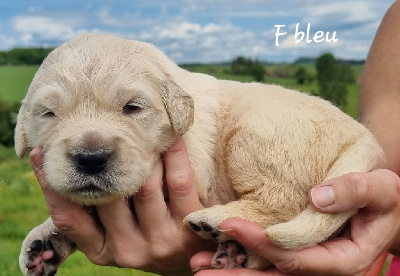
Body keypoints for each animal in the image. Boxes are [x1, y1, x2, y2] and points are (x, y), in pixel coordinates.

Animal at [15, 32, 382, 274]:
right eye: (49, 113)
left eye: (132, 107)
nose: (90, 158)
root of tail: (364, 139)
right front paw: (44, 242)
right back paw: (237, 254)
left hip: (253, 135)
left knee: (281, 201)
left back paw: (215, 221)